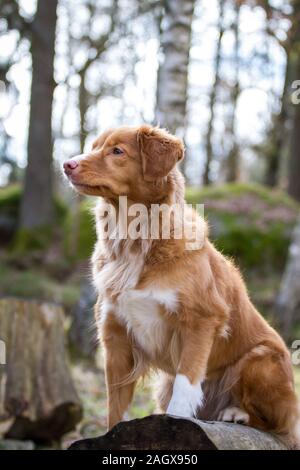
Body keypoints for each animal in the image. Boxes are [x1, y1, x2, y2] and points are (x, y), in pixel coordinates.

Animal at [63, 125, 300, 448]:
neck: (136, 240)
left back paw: (236, 413)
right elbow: (116, 406)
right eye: (94, 147)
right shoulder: (115, 336)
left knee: (279, 425)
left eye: (117, 151)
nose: (67, 164)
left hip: (261, 360)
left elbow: (185, 389)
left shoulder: (201, 320)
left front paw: (174, 422)